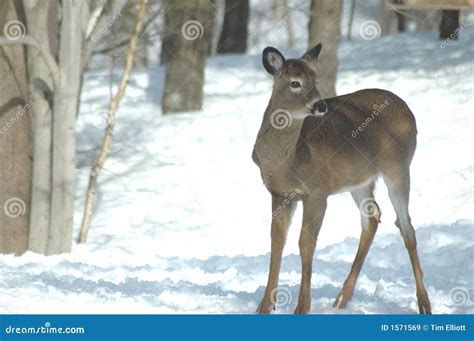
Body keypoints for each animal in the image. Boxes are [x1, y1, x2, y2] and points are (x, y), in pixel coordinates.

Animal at [254, 43, 432, 314]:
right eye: (295, 82)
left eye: (315, 80)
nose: (320, 106)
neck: (287, 161)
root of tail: (405, 107)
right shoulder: (279, 192)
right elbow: (277, 241)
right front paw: (264, 306)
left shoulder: (317, 191)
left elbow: (306, 243)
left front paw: (302, 307)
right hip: (359, 181)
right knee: (373, 217)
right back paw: (341, 299)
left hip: (398, 167)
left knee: (406, 226)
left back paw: (424, 303)